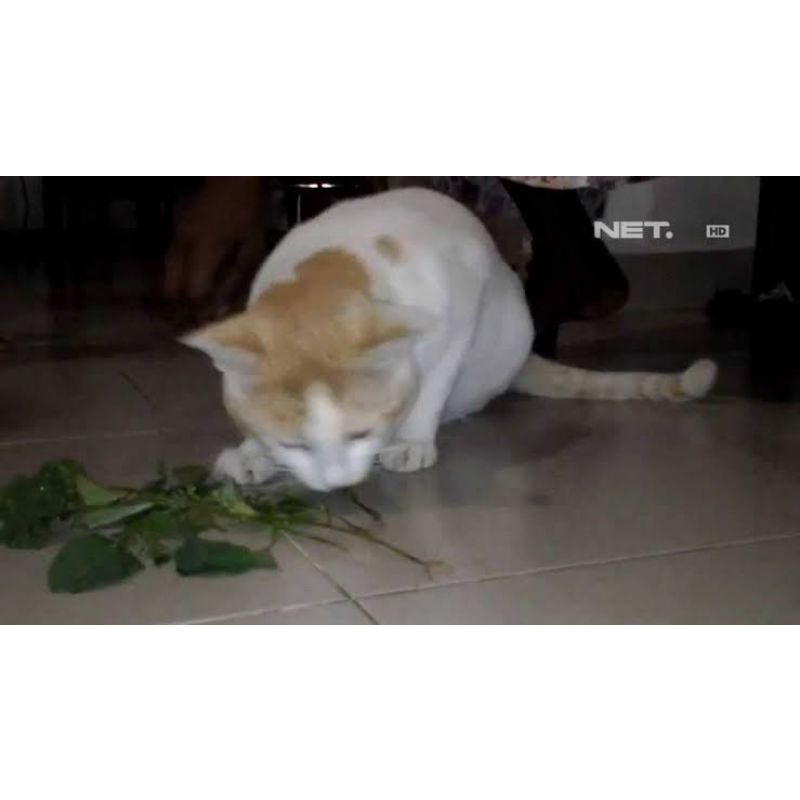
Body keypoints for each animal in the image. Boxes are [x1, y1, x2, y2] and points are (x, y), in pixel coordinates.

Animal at [183, 188, 717, 492]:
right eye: (292, 443)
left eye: (359, 433)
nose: (335, 484)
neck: (328, 274)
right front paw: (252, 453)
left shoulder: (460, 310)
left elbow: (433, 385)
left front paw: (412, 439)